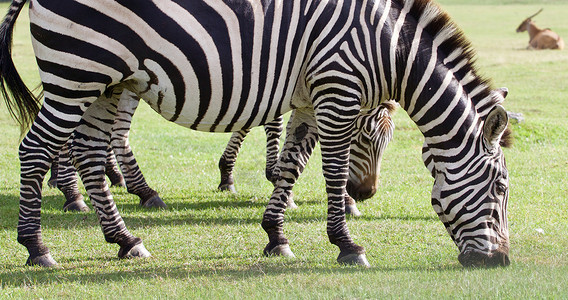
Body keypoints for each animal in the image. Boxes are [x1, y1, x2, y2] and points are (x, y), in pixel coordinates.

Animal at [0, 0, 512, 268]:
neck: (386, 46)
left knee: (88, 151)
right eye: (500, 189)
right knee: (37, 149)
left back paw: (126, 239)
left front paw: (275, 235)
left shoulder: (308, 99)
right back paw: (38, 247)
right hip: (79, 73)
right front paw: (347, 244)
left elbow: (292, 164)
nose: (501, 260)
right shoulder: (337, 91)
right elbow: (330, 170)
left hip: (109, 83)